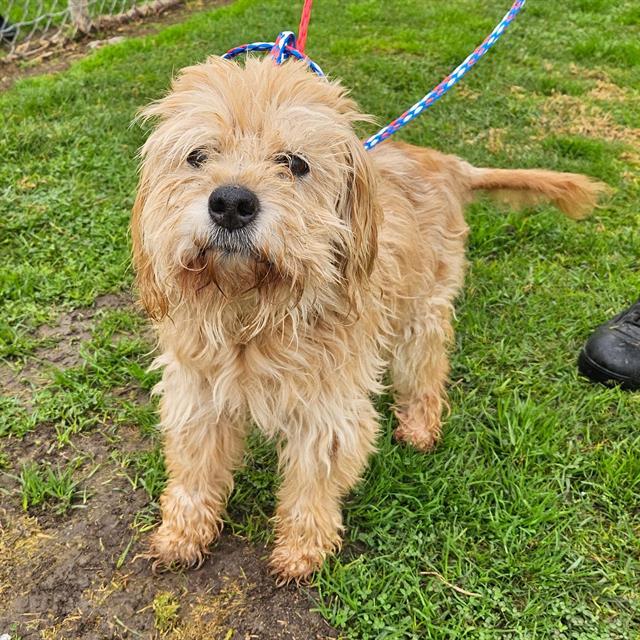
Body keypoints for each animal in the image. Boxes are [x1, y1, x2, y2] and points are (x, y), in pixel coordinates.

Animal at [131, 57, 604, 584]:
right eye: (196, 156)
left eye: (295, 163)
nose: (231, 203)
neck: (252, 314)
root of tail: (445, 163)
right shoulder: (197, 398)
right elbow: (194, 472)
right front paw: (181, 535)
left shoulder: (328, 410)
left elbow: (312, 483)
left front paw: (302, 551)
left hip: (421, 312)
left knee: (426, 370)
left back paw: (419, 426)